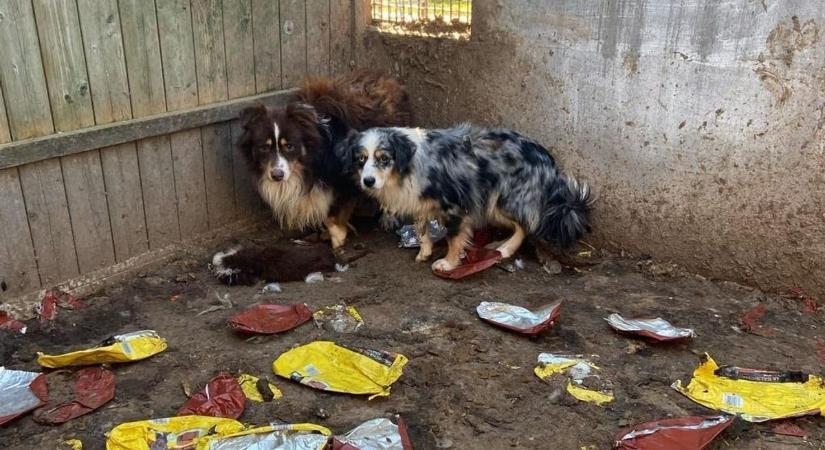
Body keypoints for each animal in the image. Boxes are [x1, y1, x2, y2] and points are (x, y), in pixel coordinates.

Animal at [237, 72, 410, 251]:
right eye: (264, 147)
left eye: (290, 146)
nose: (277, 175)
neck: (311, 162)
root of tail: (387, 79)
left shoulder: (345, 180)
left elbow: (335, 213)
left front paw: (337, 236)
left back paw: (388, 217)